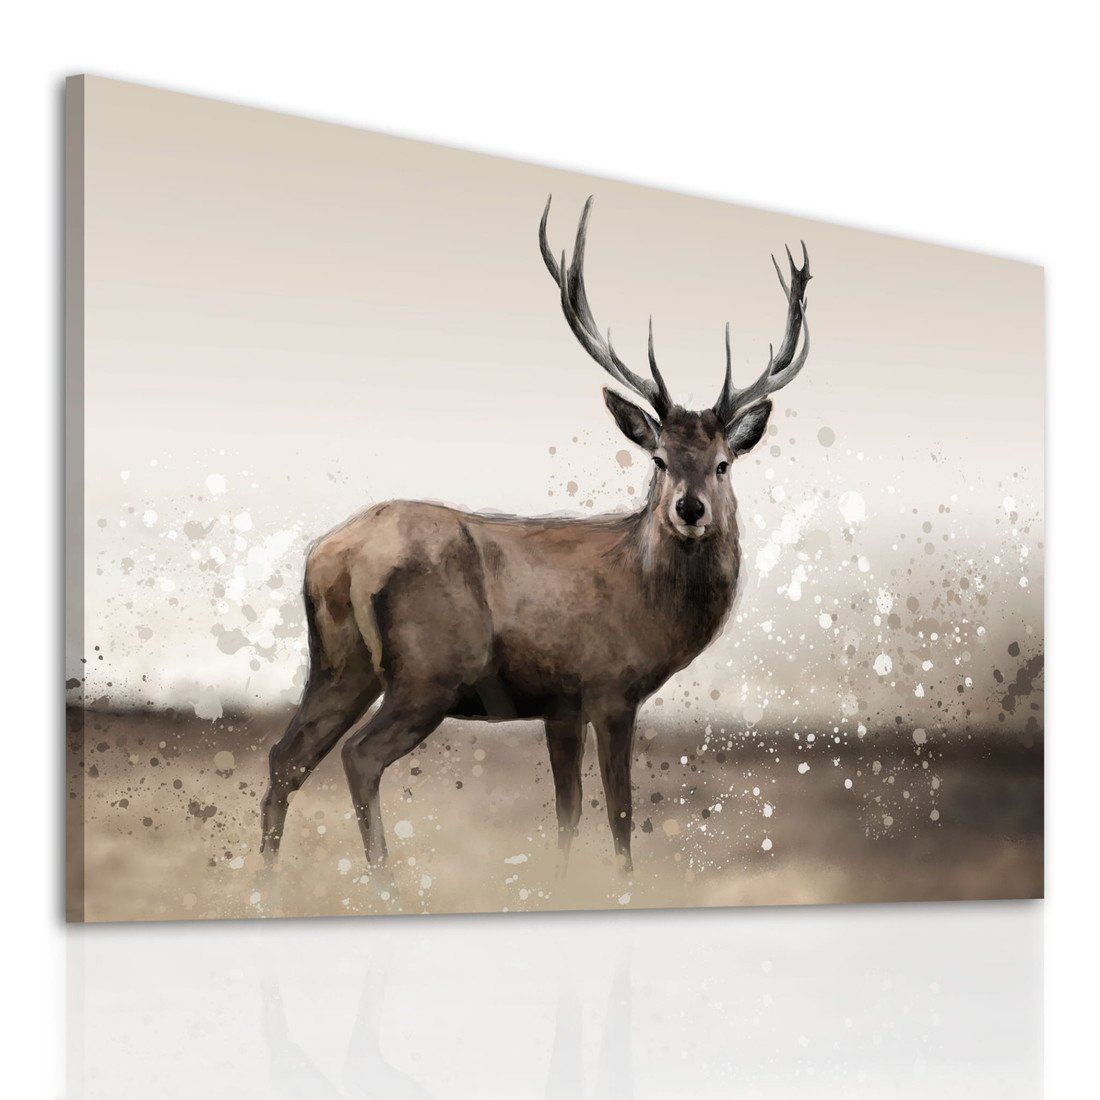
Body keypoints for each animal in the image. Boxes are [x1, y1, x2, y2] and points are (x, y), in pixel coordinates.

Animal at [259, 196, 811, 884]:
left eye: (723, 464)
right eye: (658, 459)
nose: (690, 509)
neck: (646, 601)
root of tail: (332, 557)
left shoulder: (560, 704)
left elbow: (567, 813)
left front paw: (560, 884)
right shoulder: (609, 686)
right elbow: (620, 815)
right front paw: (622, 888)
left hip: (339, 663)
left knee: (285, 756)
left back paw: (263, 885)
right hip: (428, 669)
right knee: (359, 756)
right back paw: (383, 883)